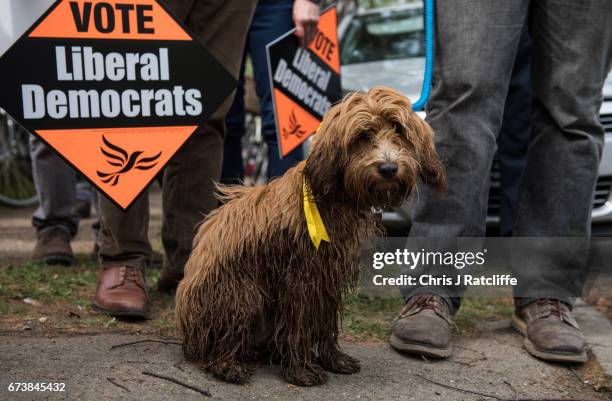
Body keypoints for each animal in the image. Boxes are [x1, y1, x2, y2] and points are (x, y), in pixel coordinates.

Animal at [175, 86, 448, 384]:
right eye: (363, 135)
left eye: (398, 129)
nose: (388, 168)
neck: (332, 195)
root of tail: (189, 336)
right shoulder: (299, 278)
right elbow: (297, 326)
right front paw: (301, 370)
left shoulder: (327, 277)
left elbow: (326, 322)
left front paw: (333, 360)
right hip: (241, 292)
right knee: (227, 338)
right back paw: (229, 364)